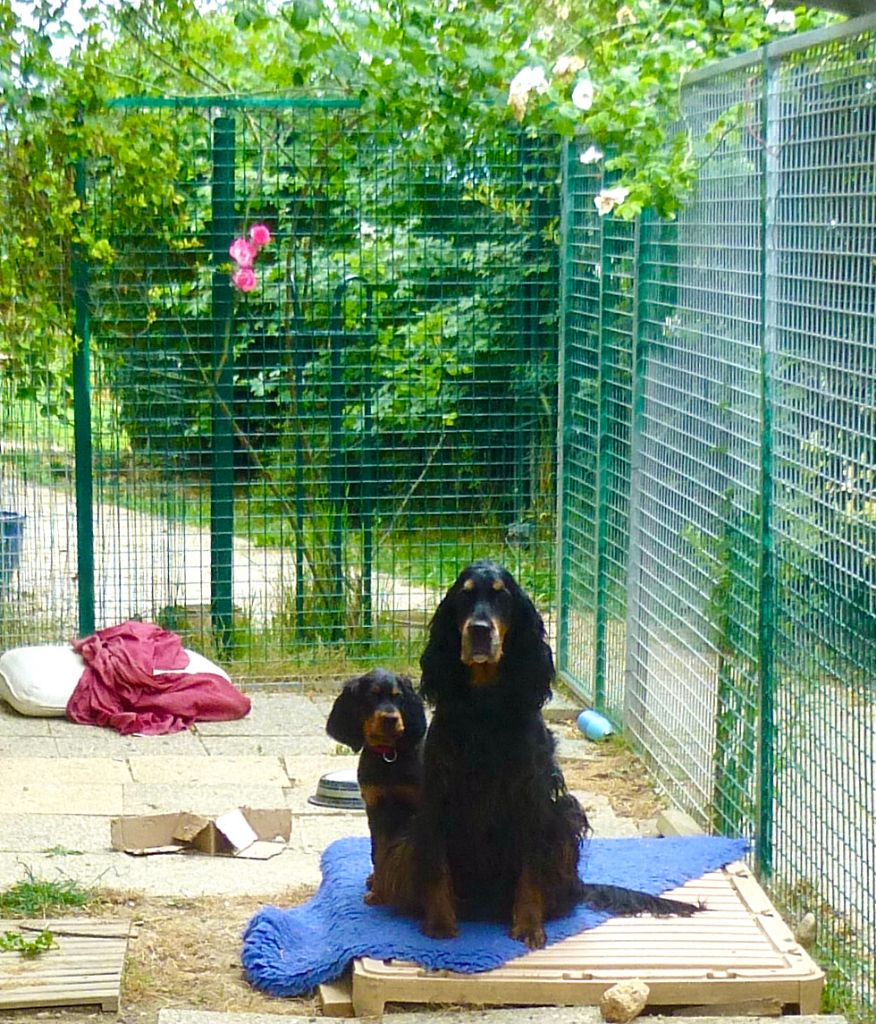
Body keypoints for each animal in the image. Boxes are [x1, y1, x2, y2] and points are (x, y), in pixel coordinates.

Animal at [325, 671, 428, 905]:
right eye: (372, 696)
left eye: (398, 696)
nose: (390, 719)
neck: (388, 755)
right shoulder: (376, 809)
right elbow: (378, 853)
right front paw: (378, 893)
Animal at [411, 565, 700, 946]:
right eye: (465, 594)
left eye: (502, 596)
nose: (479, 630)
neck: (485, 702)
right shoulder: (438, 793)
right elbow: (436, 866)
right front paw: (441, 923)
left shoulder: (532, 798)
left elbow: (532, 867)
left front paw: (529, 926)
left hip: (566, 813)